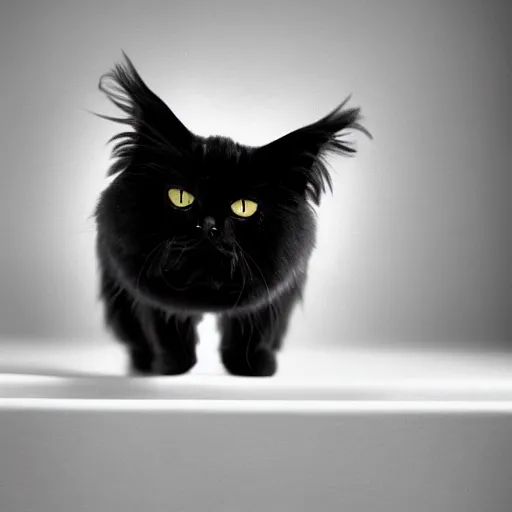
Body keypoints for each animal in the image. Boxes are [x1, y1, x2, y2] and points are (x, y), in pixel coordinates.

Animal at [94, 54, 370, 376]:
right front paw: (173, 366)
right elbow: (165, 325)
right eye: (181, 197)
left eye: (243, 207)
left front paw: (252, 367)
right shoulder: (141, 286)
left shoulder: (277, 291)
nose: (209, 225)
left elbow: (255, 328)